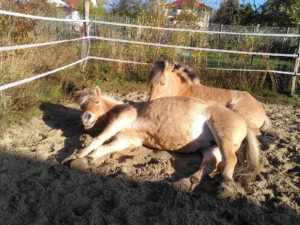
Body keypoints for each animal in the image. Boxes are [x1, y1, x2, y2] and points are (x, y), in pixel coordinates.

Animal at [62, 86, 258, 200]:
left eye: (96, 101)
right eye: (82, 106)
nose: (86, 118)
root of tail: (242, 121)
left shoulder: (118, 122)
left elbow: (99, 139)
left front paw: (75, 156)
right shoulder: (126, 139)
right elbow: (105, 147)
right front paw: (85, 160)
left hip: (222, 136)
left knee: (230, 160)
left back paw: (225, 186)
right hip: (212, 147)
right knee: (208, 165)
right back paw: (186, 182)